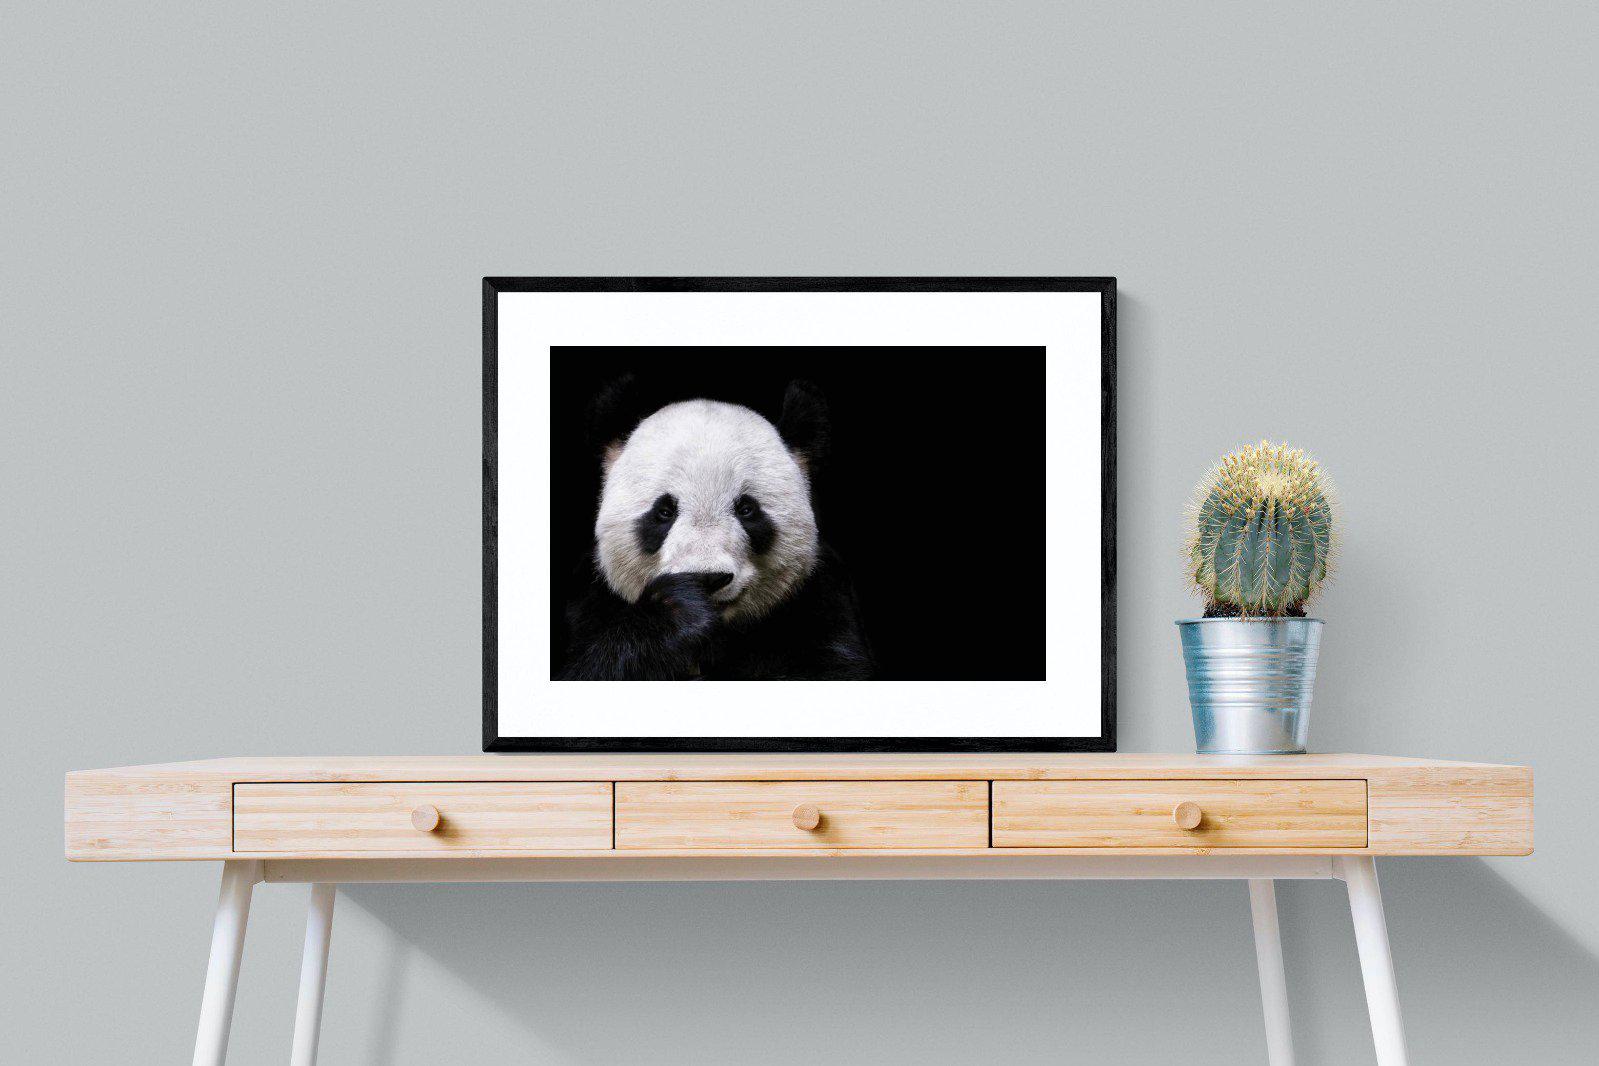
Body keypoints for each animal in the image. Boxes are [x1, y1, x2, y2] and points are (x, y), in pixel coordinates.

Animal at [559, 379, 874, 680]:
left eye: (746, 509)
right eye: (664, 512)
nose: (708, 578)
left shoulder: (821, 600)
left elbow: (831, 668)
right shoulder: (589, 602)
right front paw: (676, 609)